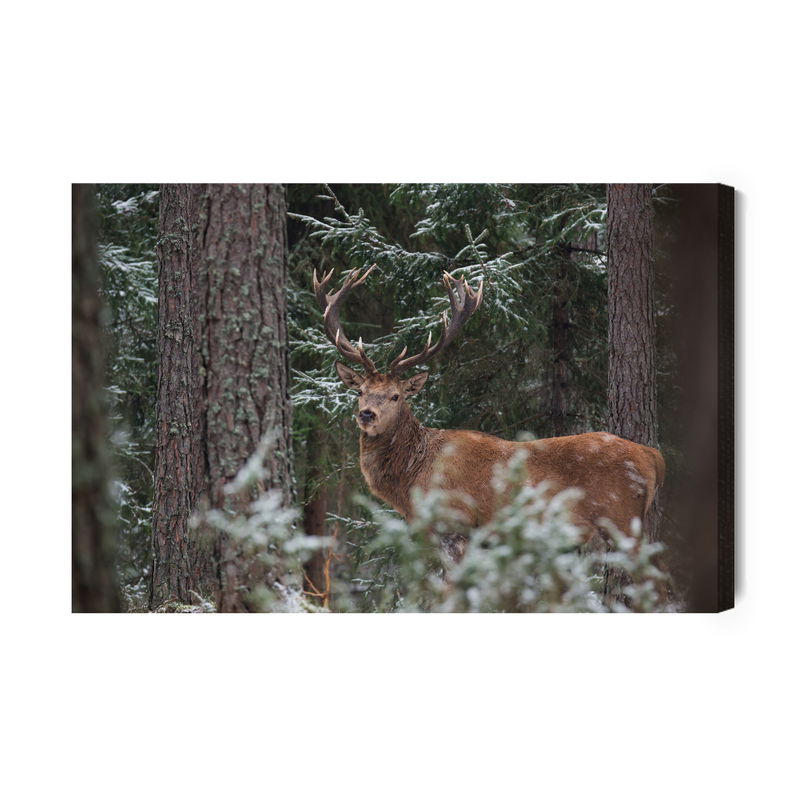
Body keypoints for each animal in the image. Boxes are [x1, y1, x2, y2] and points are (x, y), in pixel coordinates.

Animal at [313, 265, 665, 558]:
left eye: (396, 396)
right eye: (360, 391)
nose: (367, 414)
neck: (411, 481)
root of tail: (653, 456)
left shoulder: (458, 526)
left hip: (621, 517)